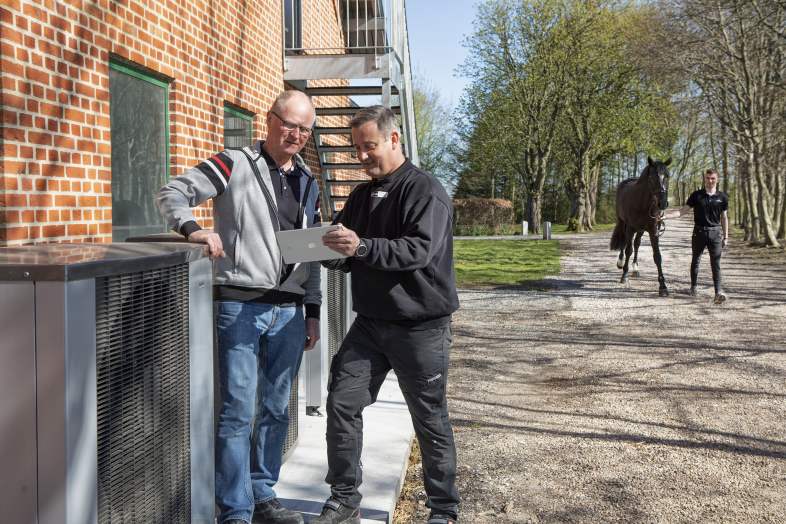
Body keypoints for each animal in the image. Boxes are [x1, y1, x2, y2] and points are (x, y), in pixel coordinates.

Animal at [608, 155, 672, 294]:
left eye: (667, 176)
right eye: (652, 177)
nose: (662, 203)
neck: (642, 203)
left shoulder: (653, 231)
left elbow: (657, 256)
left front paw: (663, 286)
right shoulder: (630, 228)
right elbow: (628, 250)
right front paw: (624, 275)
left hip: (641, 230)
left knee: (637, 244)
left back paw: (635, 268)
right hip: (623, 223)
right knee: (624, 244)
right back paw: (620, 262)